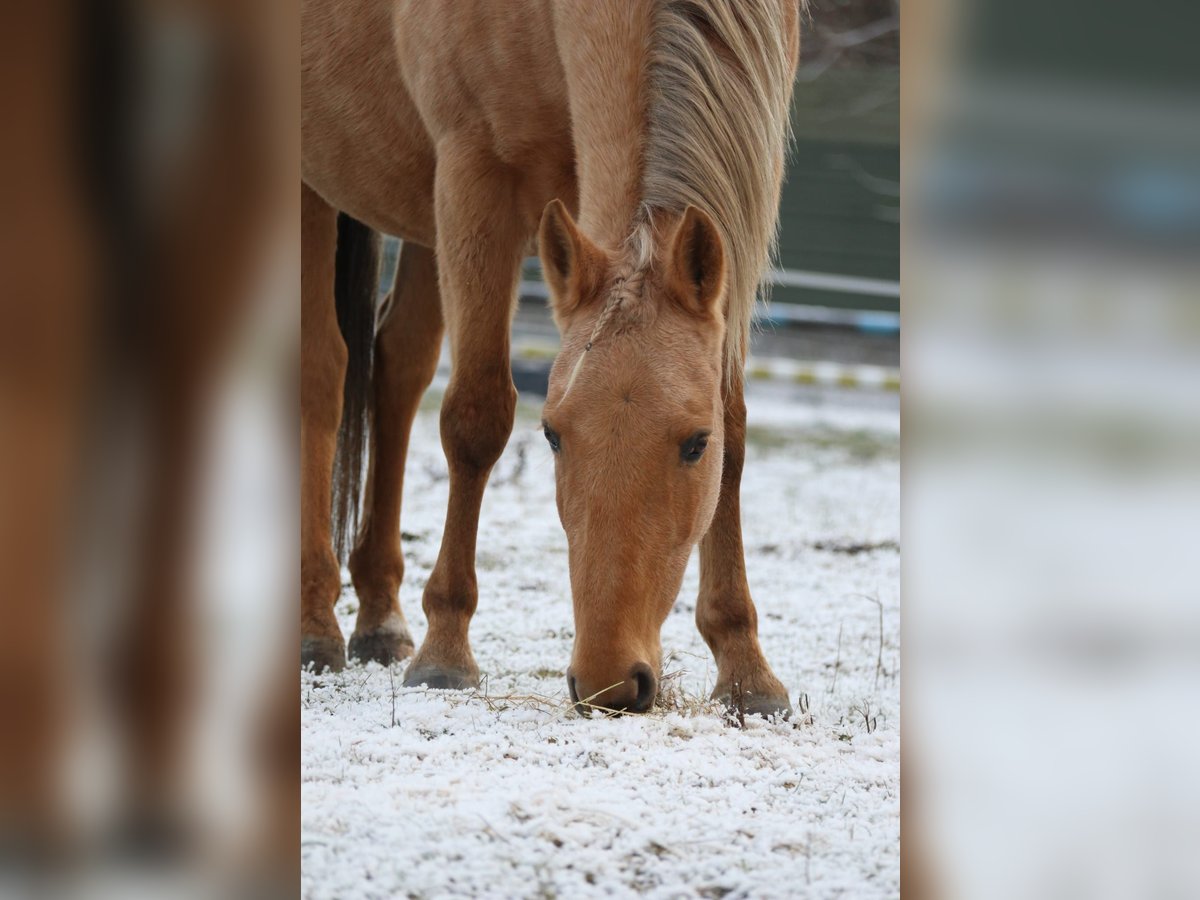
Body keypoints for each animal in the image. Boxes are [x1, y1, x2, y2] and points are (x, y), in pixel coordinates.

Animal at [300, 0, 801, 720]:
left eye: (695, 444)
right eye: (553, 437)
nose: (609, 682)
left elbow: (735, 428)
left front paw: (746, 672)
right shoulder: (473, 176)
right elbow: (475, 418)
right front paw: (446, 652)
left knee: (399, 365)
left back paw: (381, 620)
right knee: (323, 372)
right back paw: (317, 624)